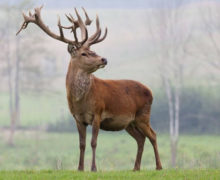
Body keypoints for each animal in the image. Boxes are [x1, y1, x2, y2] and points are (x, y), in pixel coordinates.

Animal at [16, 5, 162, 172]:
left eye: (94, 51)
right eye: (84, 53)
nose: (104, 59)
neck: (81, 101)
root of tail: (150, 91)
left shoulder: (98, 113)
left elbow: (93, 142)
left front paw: (93, 168)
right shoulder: (78, 118)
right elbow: (82, 144)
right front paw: (80, 168)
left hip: (143, 115)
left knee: (153, 135)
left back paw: (158, 166)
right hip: (129, 122)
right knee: (141, 138)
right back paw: (136, 168)